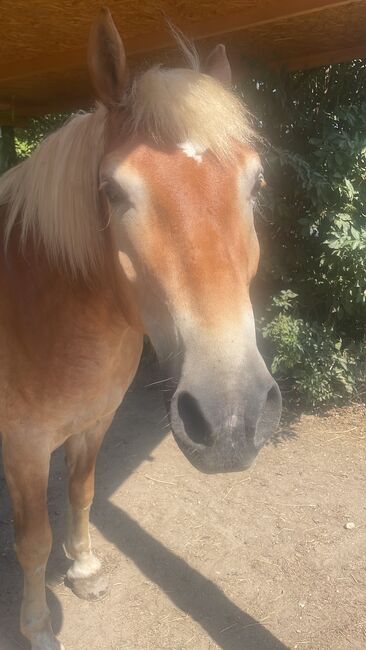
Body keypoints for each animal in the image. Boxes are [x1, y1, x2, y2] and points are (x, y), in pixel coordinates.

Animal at [0, 10, 280, 648]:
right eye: (113, 190)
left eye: (255, 184)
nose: (233, 419)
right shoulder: (24, 446)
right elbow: (33, 540)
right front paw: (37, 626)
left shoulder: (95, 420)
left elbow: (81, 495)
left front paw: (84, 570)